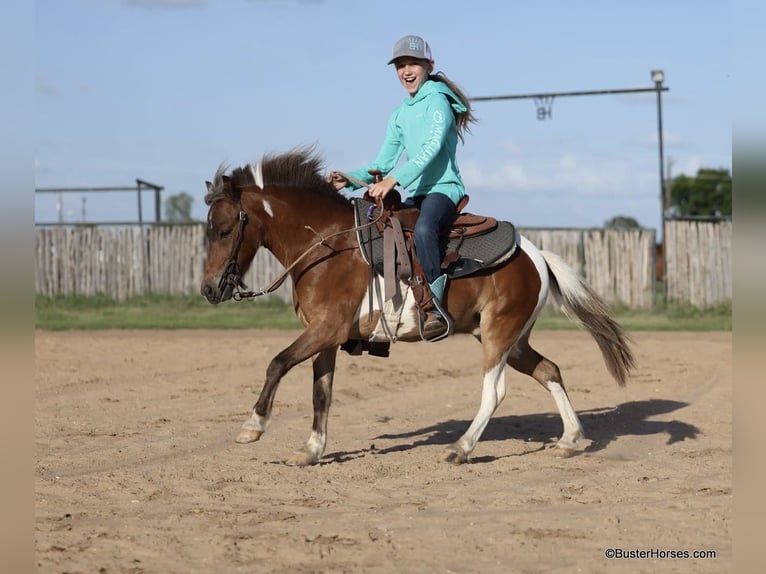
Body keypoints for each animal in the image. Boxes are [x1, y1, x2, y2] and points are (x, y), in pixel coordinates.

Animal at [202, 148, 636, 468]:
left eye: (223, 230)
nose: (208, 289)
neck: (328, 245)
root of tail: (536, 254)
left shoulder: (325, 329)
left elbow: (276, 362)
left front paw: (253, 425)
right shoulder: (326, 336)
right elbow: (320, 392)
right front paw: (310, 451)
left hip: (499, 335)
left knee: (494, 391)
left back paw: (460, 448)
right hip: (513, 340)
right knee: (550, 370)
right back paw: (570, 439)